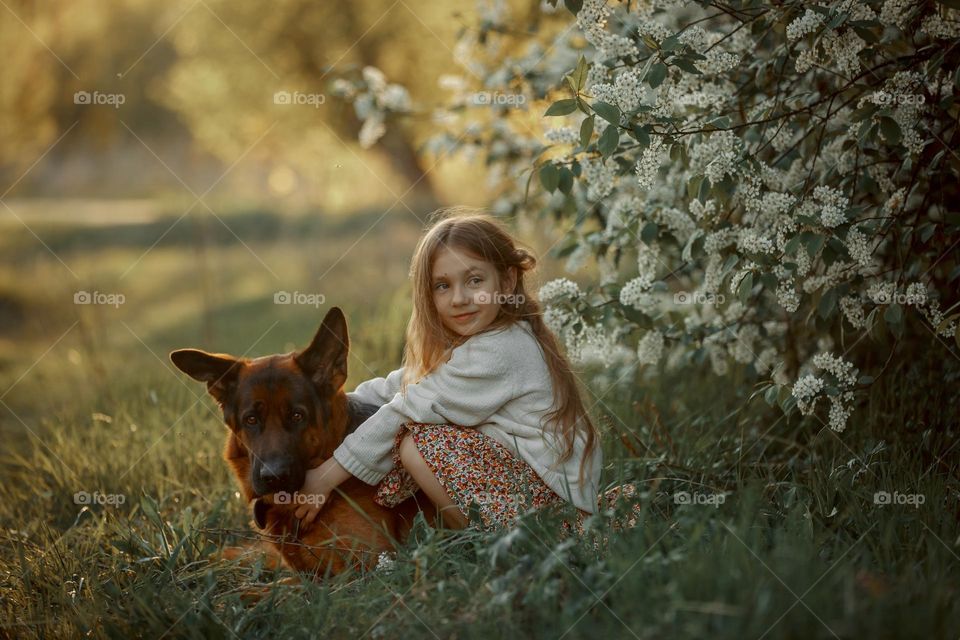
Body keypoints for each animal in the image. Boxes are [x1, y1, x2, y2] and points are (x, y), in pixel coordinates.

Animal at [171, 304, 436, 580]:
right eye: (251, 419)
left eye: (297, 416)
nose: (273, 477)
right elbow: (251, 556)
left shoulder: (363, 570)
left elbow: (259, 587)